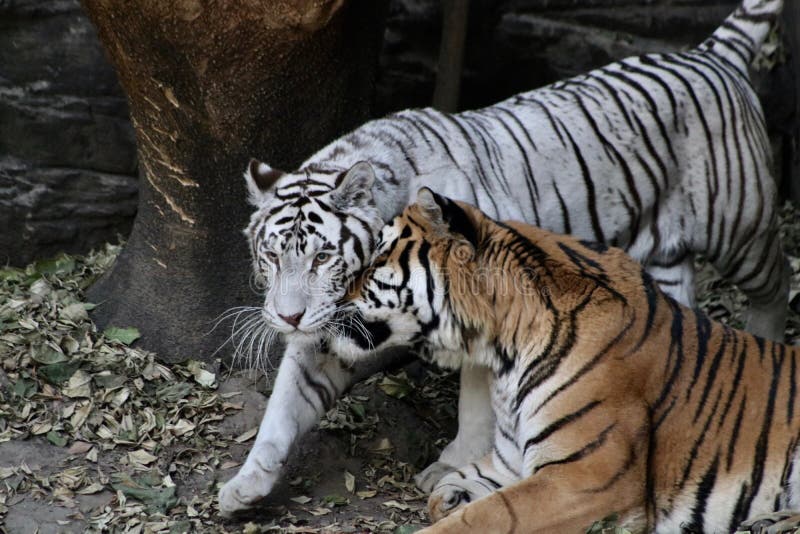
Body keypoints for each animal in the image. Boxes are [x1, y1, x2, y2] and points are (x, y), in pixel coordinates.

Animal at [332, 187, 800, 534]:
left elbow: (488, 516)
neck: (502, 352)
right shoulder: (510, 461)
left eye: (377, 259)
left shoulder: (587, 477)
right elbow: (448, 489)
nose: (331, 299)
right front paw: (451, 498)